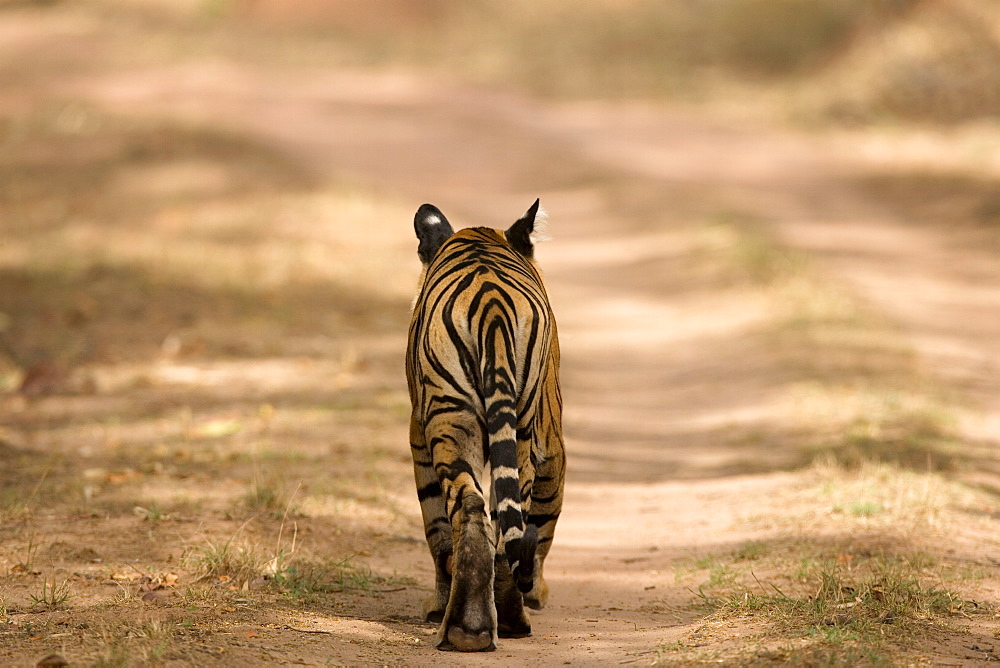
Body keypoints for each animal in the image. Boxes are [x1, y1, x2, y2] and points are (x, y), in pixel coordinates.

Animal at [404, 200, 564, 652]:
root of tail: (491, 303)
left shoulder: (419, 437)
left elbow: (438, 529)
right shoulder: (553, 447)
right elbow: (542, 527)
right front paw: (537, 592)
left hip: (452, 420)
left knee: (472, 509)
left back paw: (468, 628)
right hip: (516, 428)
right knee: (505, 518)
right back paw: (505, 619)